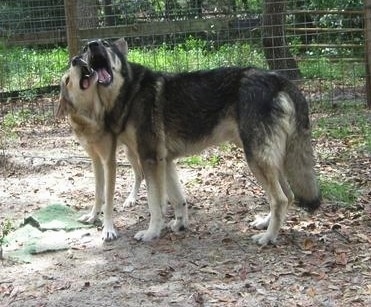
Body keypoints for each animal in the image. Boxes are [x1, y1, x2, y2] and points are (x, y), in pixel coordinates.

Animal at [59, 38, 322, 245]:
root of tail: (279, 79)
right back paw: (265, 223)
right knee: (287, 195)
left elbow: (155, 204)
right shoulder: (165, 161)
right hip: (265, 159)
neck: (130, 92)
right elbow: (177, 199)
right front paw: (179, 225)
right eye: (86, 49)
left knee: (280, 199)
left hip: (256, 159)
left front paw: (151, 233)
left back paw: (268, 237)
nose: (92, 45)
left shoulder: (150, 160)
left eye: (104, 44)